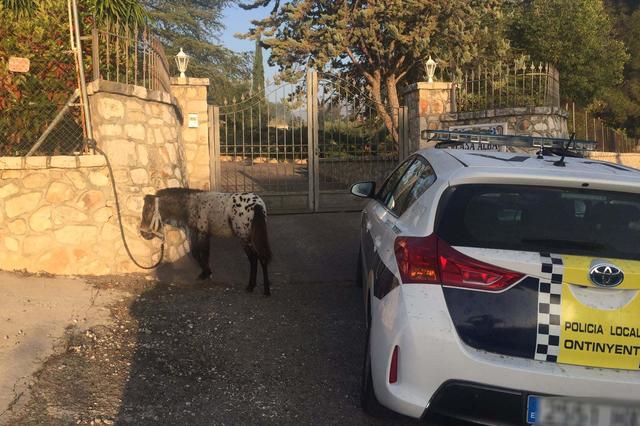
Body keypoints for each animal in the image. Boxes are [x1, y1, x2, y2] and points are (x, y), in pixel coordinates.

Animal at [139, 190, 272, 296]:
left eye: (147, 212)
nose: (143, 234)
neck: (192, 204)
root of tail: (257, 204)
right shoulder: (205, 234)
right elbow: (204, 254)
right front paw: (206, 273)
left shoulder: (200, 232)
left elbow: (198, 253)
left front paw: (206, 273)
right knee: (262, 258)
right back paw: (264, 289)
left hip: (244, 238)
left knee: (254, 258)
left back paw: (253, 287)